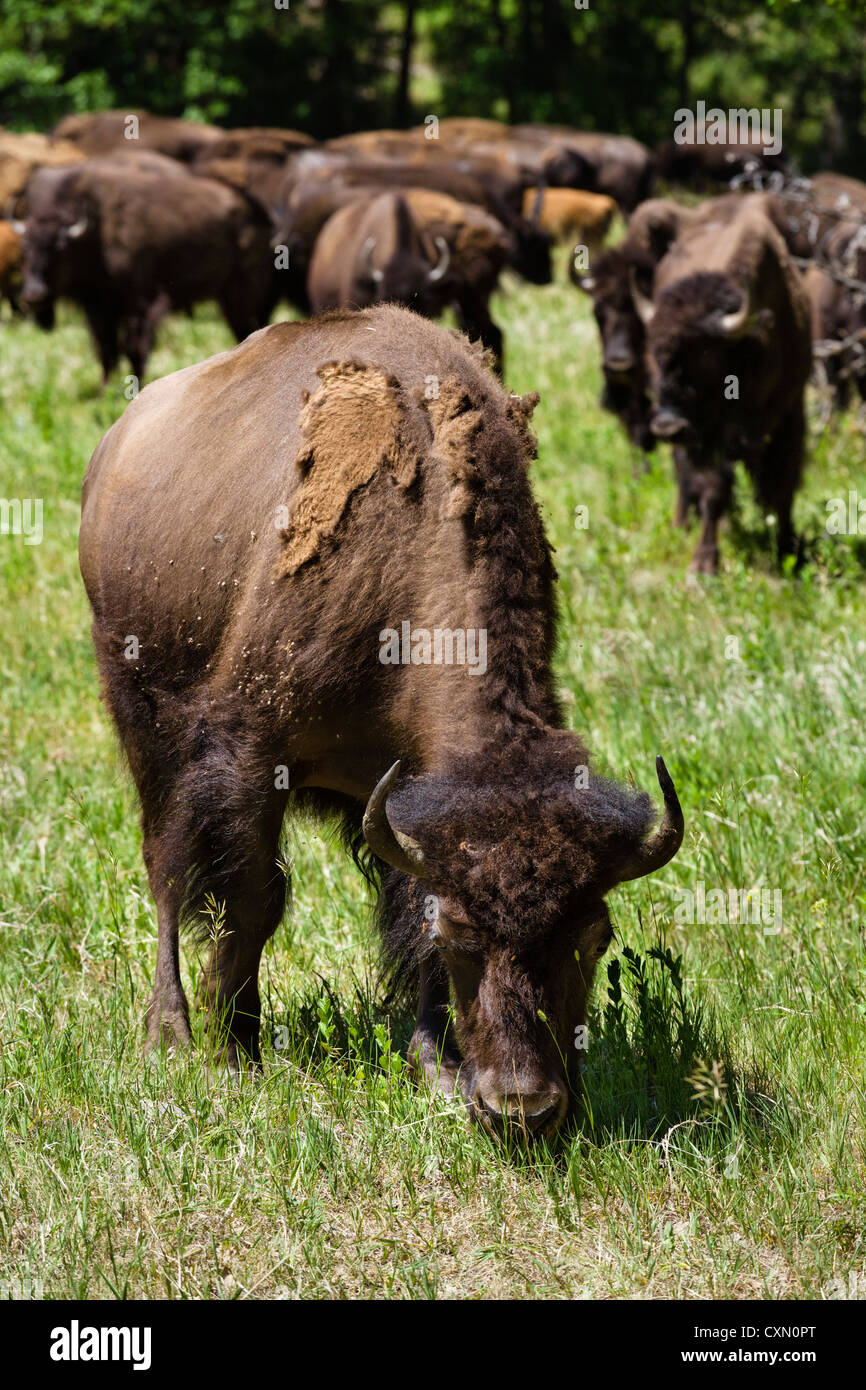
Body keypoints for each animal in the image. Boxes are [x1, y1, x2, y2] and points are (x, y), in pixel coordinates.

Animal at [631, 194, 811, 569]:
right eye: (654, 352)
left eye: (705, 355)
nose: (668, 426)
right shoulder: (710, 437)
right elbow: (713, 488)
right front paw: (703, 565)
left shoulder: (791, 410)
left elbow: (783, 486)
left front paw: (789, 549)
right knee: (686, 475)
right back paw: (682, 523)